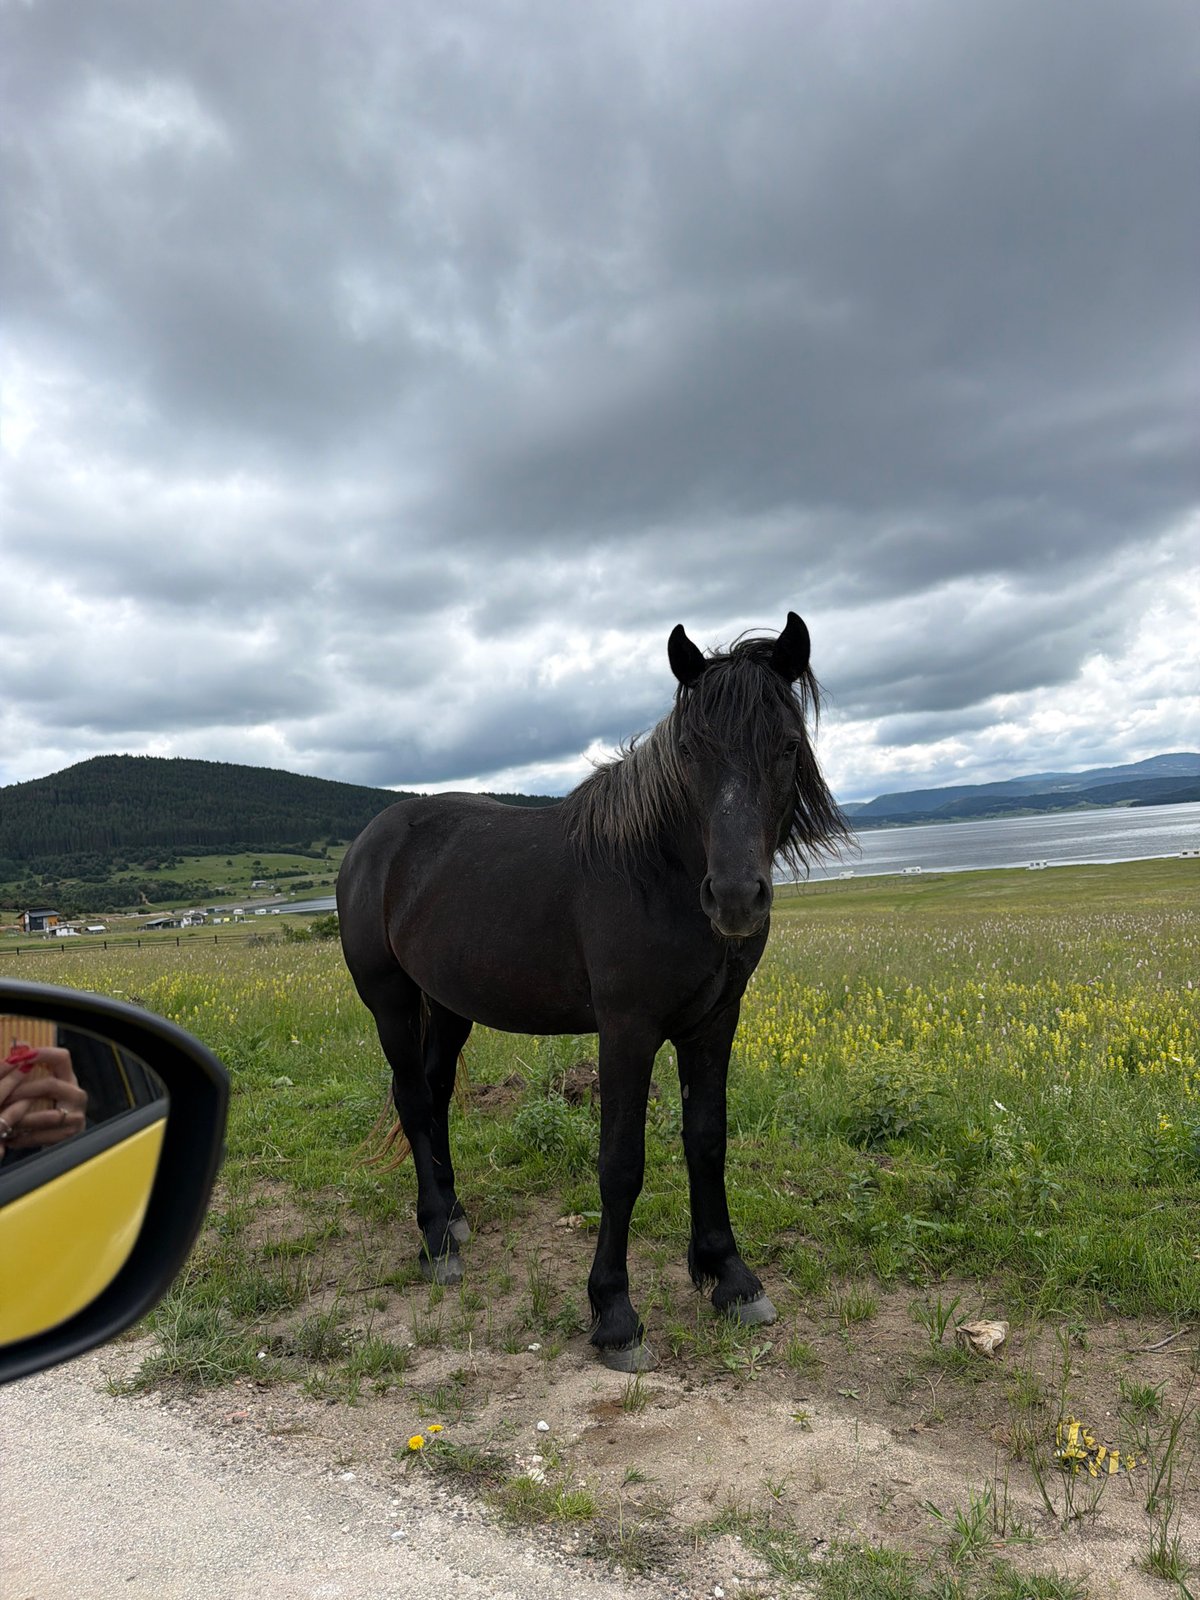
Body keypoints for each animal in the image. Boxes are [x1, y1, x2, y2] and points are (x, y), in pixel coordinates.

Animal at [337, 612, 849, 1370]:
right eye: (690, 750)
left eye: (787, 745)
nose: (734, 898)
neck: (655, 872)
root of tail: (371, 841)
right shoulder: (627, 1031)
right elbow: (621, 1164)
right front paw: (615, 1312)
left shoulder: (714, 1022)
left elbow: (708, 1140)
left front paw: (729, 1276)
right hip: (392, 1001)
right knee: (411, 1097)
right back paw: (434, 1239)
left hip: (450, 1005)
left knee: (434, 1093)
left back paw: (455, 1219)